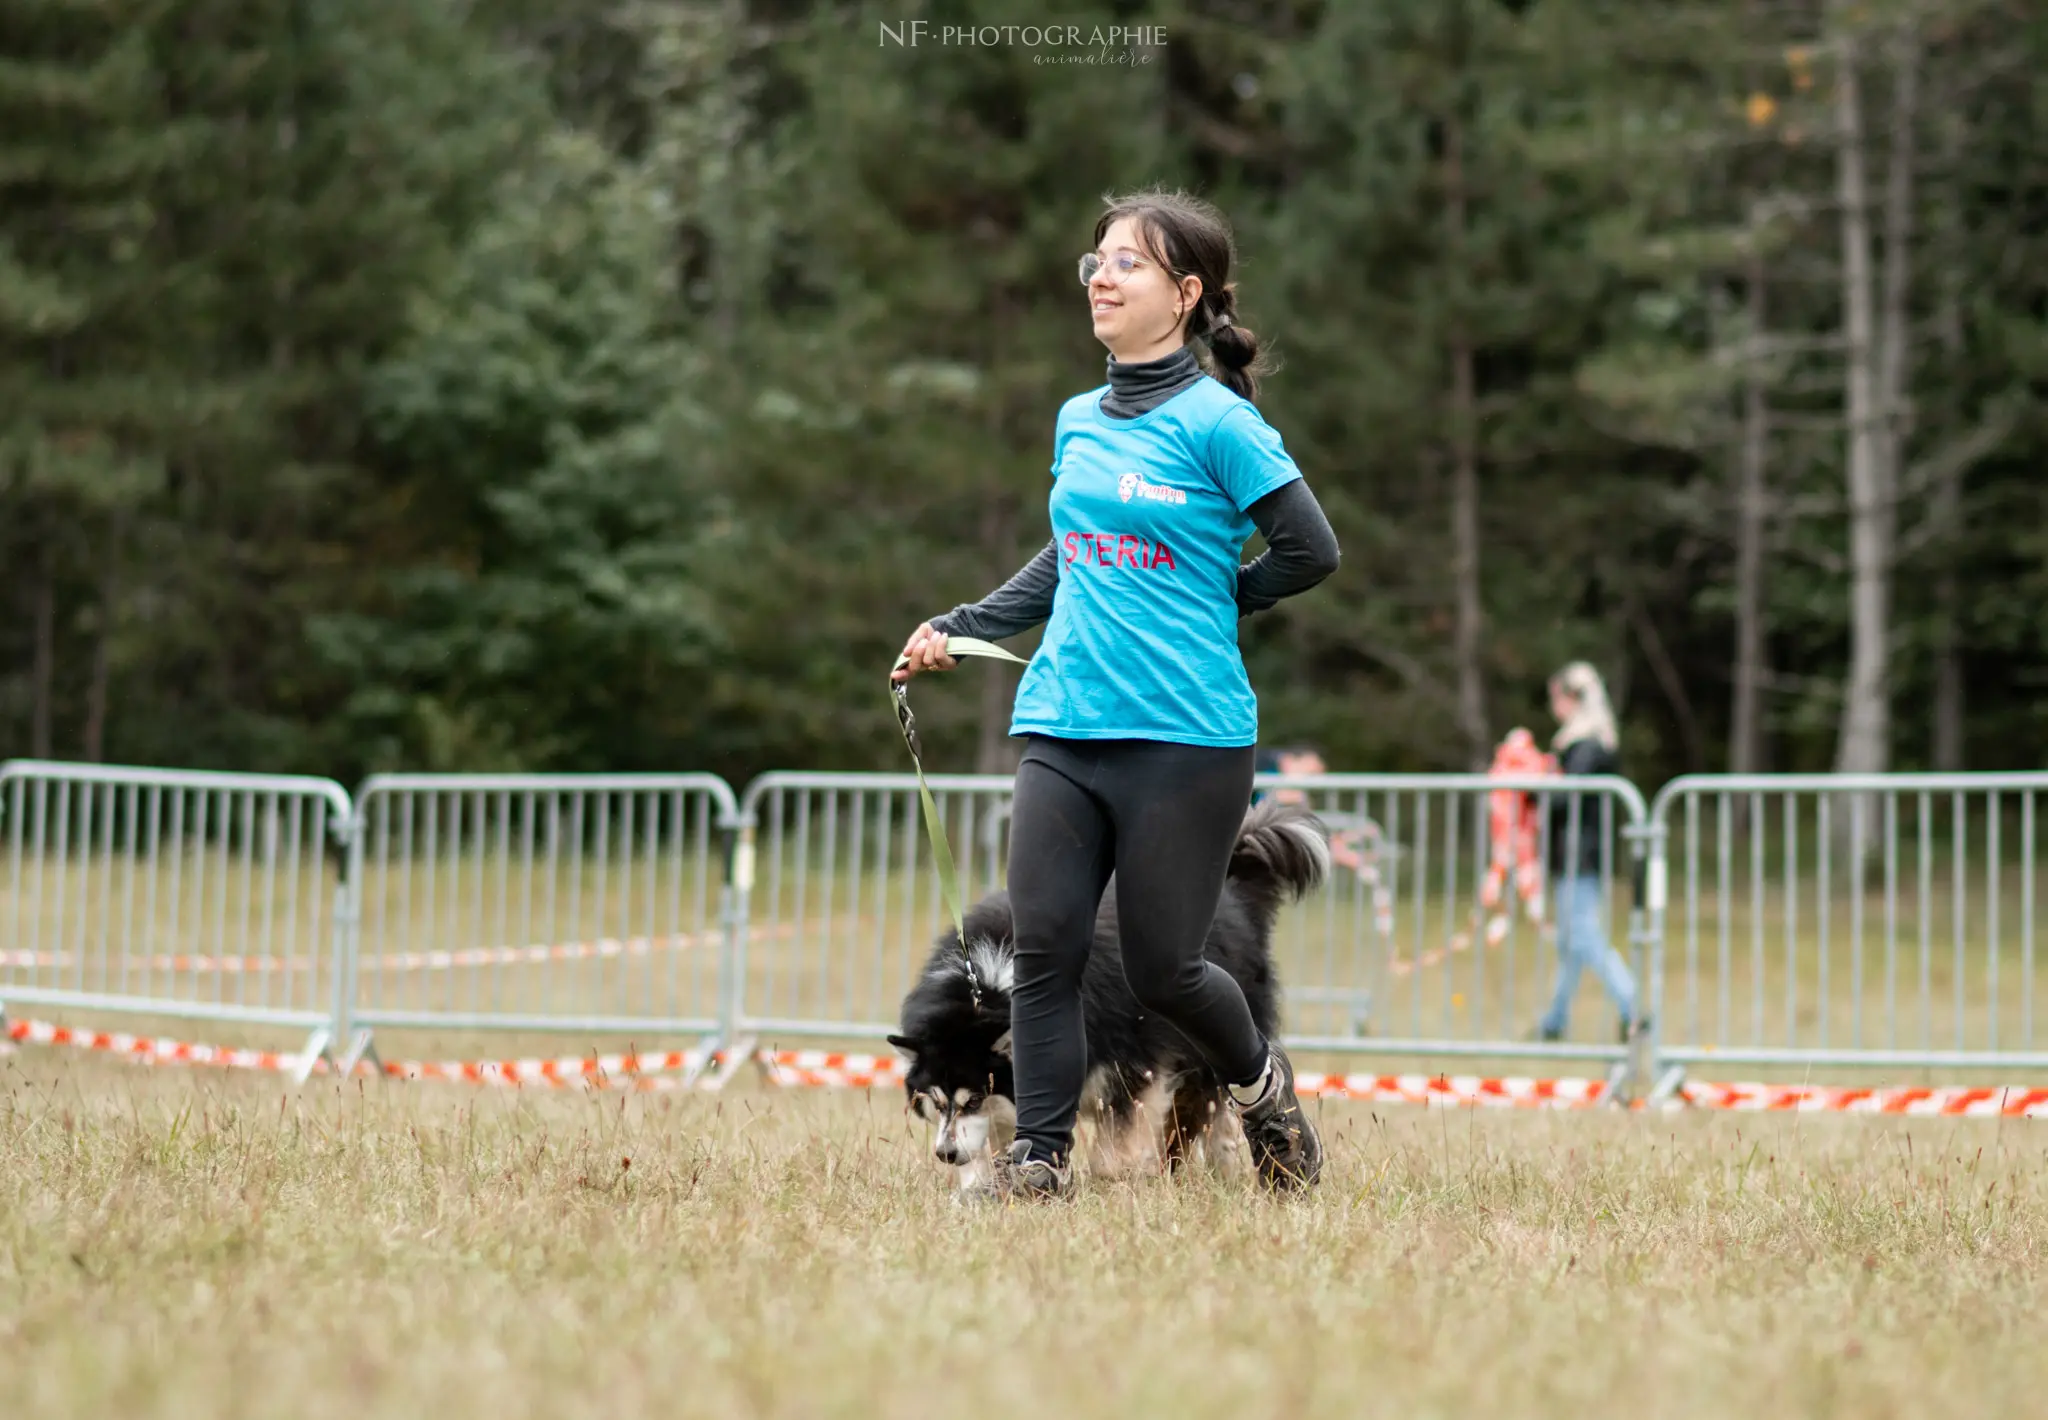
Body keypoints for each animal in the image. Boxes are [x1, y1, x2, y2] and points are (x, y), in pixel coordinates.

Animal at [892, 799, 1327, 1188]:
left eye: (973, 1100)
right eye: (937, 1101)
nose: (945, 1154)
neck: (991, 985)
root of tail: (1232, 895)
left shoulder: (1131, 1070)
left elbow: (1113, 1147)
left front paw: (1113, 1181)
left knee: (1215, 1115)